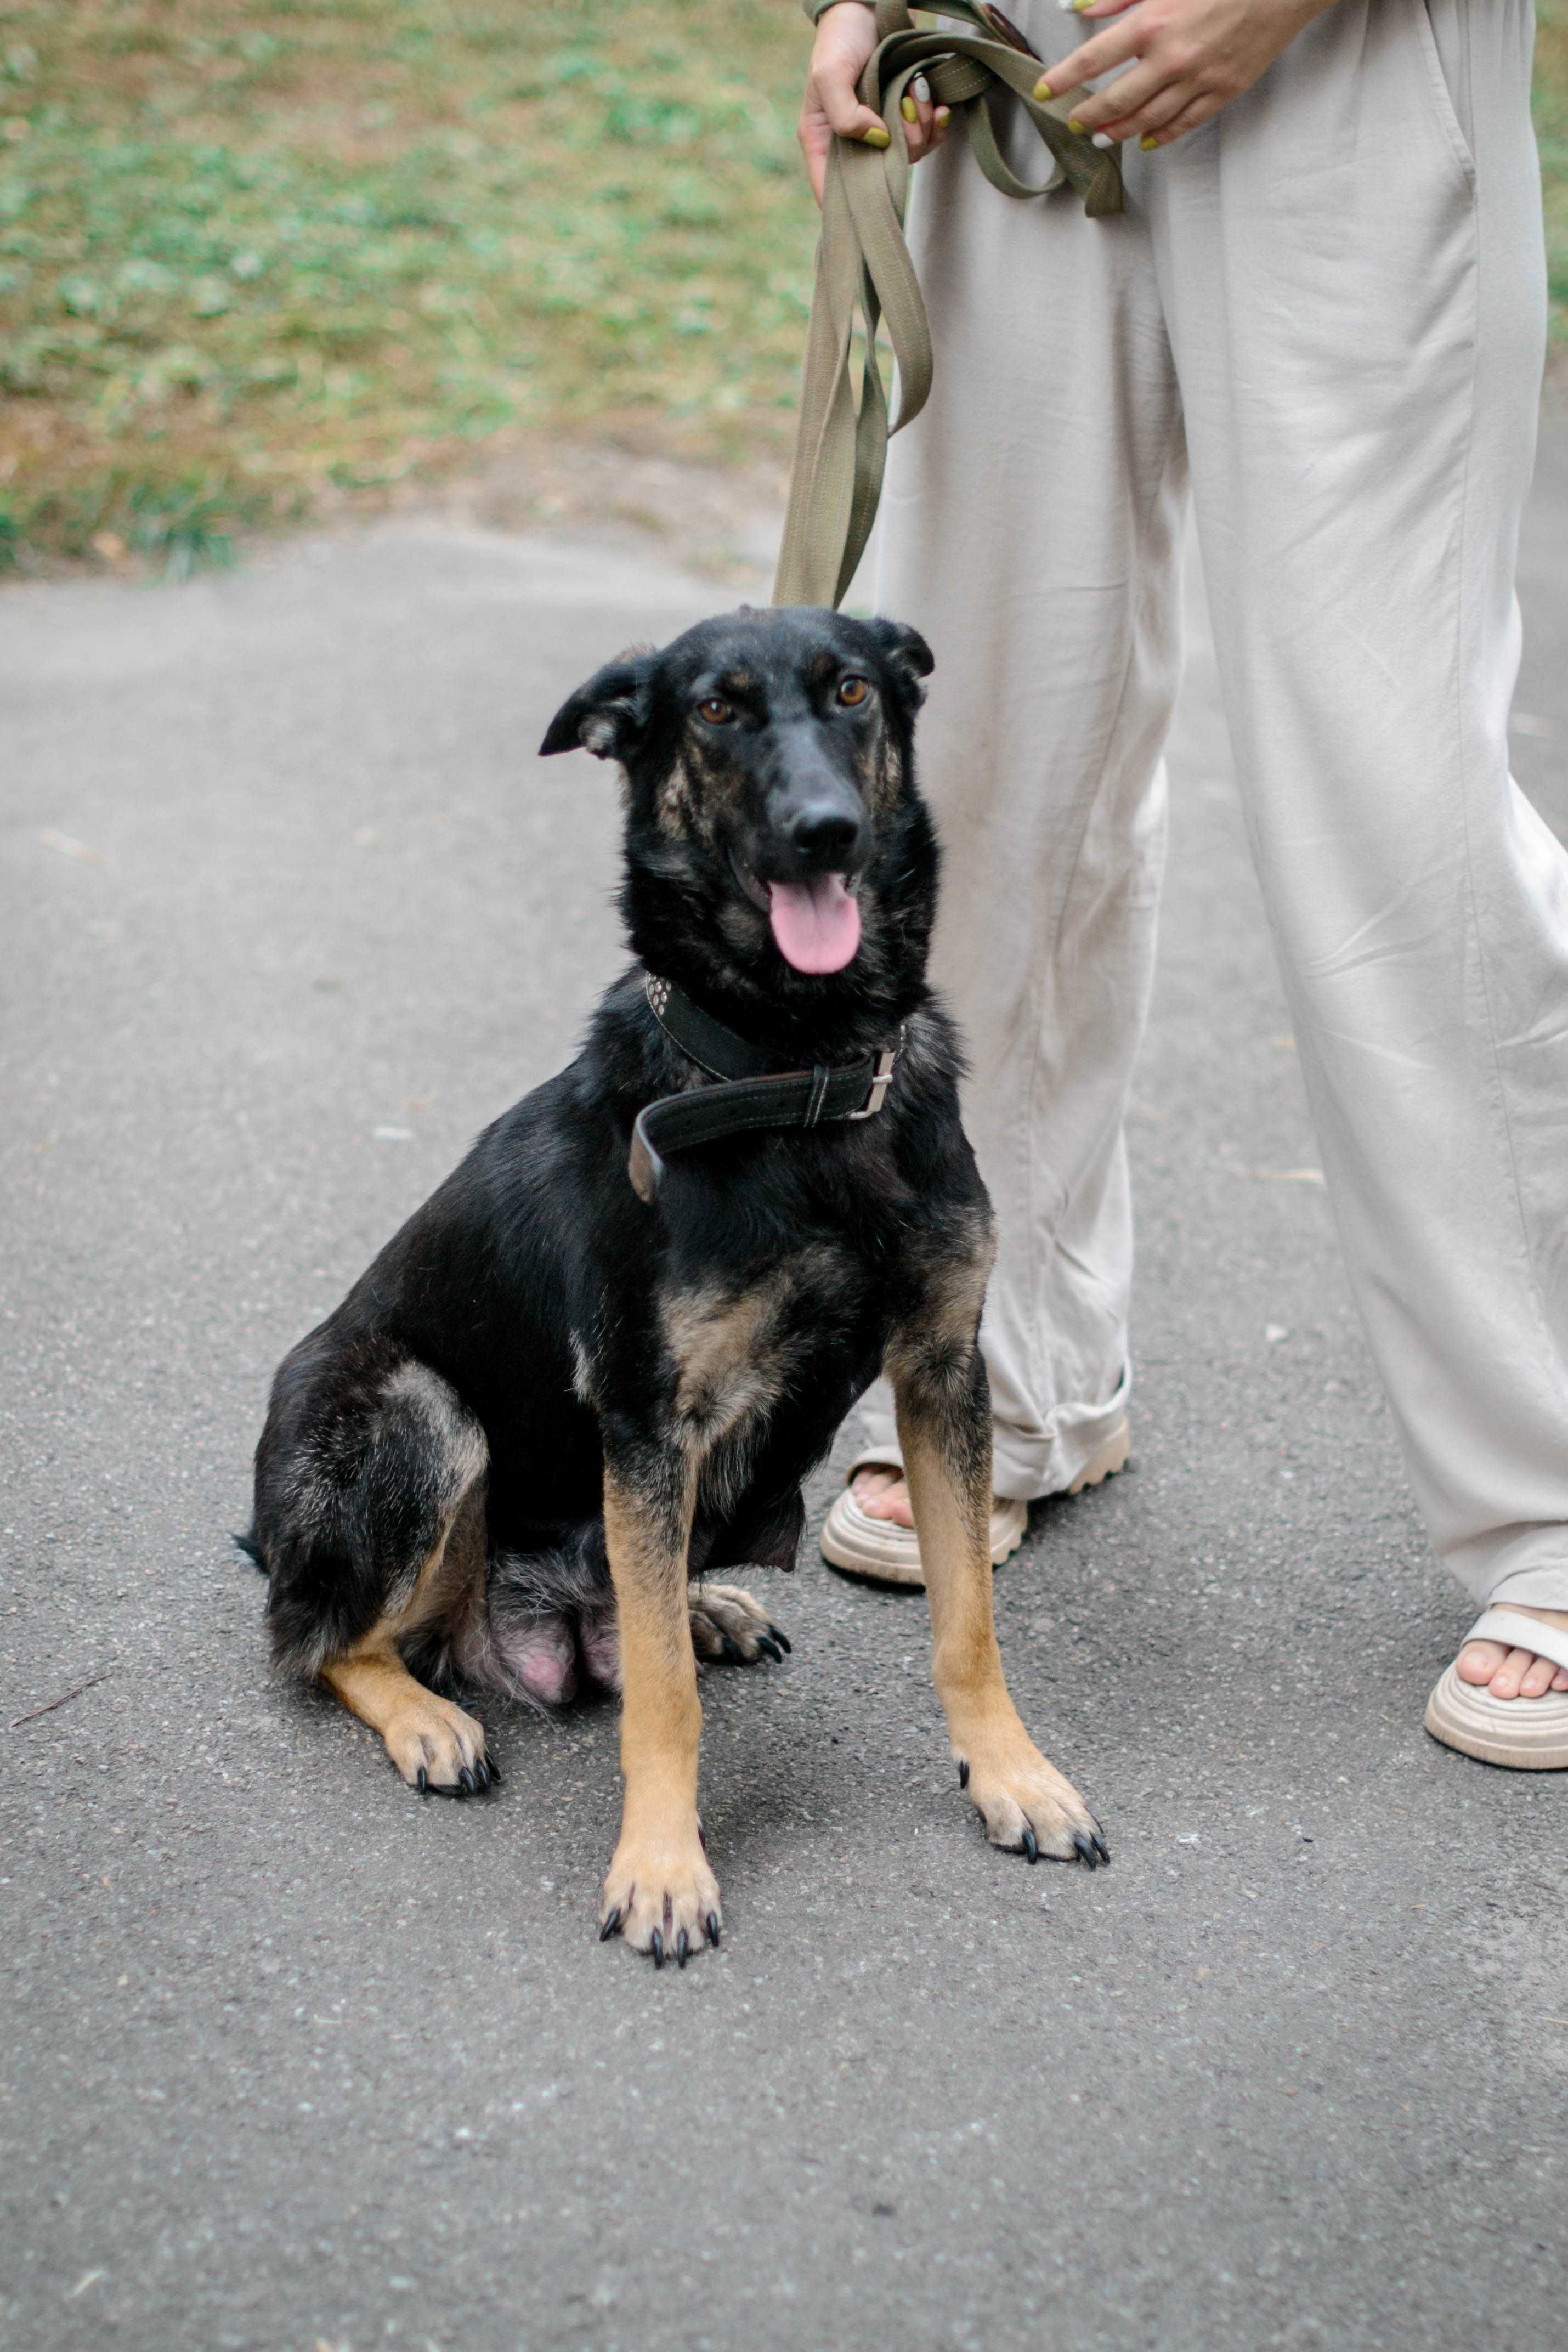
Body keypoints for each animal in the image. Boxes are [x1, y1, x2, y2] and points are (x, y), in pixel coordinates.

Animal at [242, 607, 1105, 1966]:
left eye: (851, 692)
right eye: (713, 711)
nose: (825, 830)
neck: (800, 1075)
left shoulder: (939, 1372)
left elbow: (967, 1622)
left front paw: (1011, 1776)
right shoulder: (649, 1420)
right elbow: (661, 1698)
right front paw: (660, 1864)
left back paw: (704, 1606)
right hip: (420, 1415)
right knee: (322, 1639)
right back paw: (427, 1714)